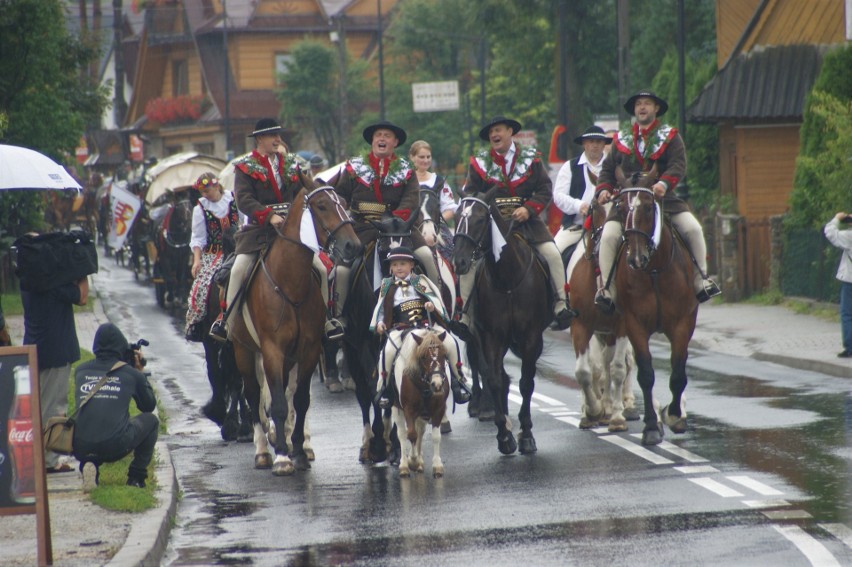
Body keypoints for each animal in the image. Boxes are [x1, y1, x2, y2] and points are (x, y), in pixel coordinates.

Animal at [230, 180, 360, 478]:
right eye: (321, 206)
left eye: (343, 203)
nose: (352, 245)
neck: (289, 282)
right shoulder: (272, 350)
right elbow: (276, 403)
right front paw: (281, 457)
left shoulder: (308, 349)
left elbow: (299, 400)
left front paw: (298, 450)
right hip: (243, 351)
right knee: (253, 394)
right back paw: (263, 451)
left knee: (287, 395)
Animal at [390, 328, 450, 480]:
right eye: (423, 357)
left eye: (444, 354)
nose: (437, 385)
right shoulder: (408, 410)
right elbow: (411, 434)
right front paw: (413, 461)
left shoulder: (438, 409)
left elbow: (435, 437)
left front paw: (437, 466)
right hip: (397, 409)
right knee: (402, 433)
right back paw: (404, 465)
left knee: (420, 432)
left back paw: (420, 462)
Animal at [452, 191, 552, 458]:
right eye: (457, 215)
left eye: (480, 219)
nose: (459, 262)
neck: (507, 278)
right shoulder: (492, 337)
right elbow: (495, 380)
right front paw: (504, 435)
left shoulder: (531, 337)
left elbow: (526, 383)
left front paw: (526, 435)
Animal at [612, 171, 700, 446]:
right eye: (620, 207)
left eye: (649, 207)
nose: (635, 258)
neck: (653, 270)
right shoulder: (634, 325)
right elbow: (646, 375)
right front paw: (652, 426)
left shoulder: (683, 324)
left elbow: (678, 373)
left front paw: (674, 415)